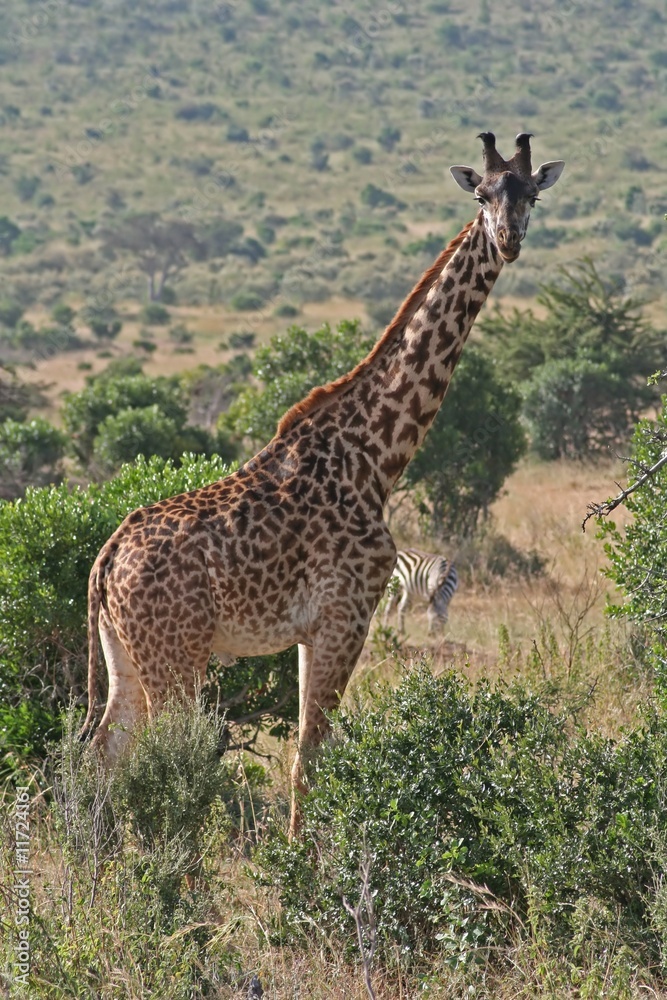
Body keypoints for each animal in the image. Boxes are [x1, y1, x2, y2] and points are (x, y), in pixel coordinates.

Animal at [82, 132, 564, 835]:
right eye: (481, 195)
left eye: (530, 194)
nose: (508, 240)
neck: (377, 456)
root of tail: (105, 560)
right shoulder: (347, 613)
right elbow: (311, 753)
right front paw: (298, 863)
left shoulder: (314, 630)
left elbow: (311, 752)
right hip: (174, 656)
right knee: (161, 759)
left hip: (123, 652)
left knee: (103, 752)